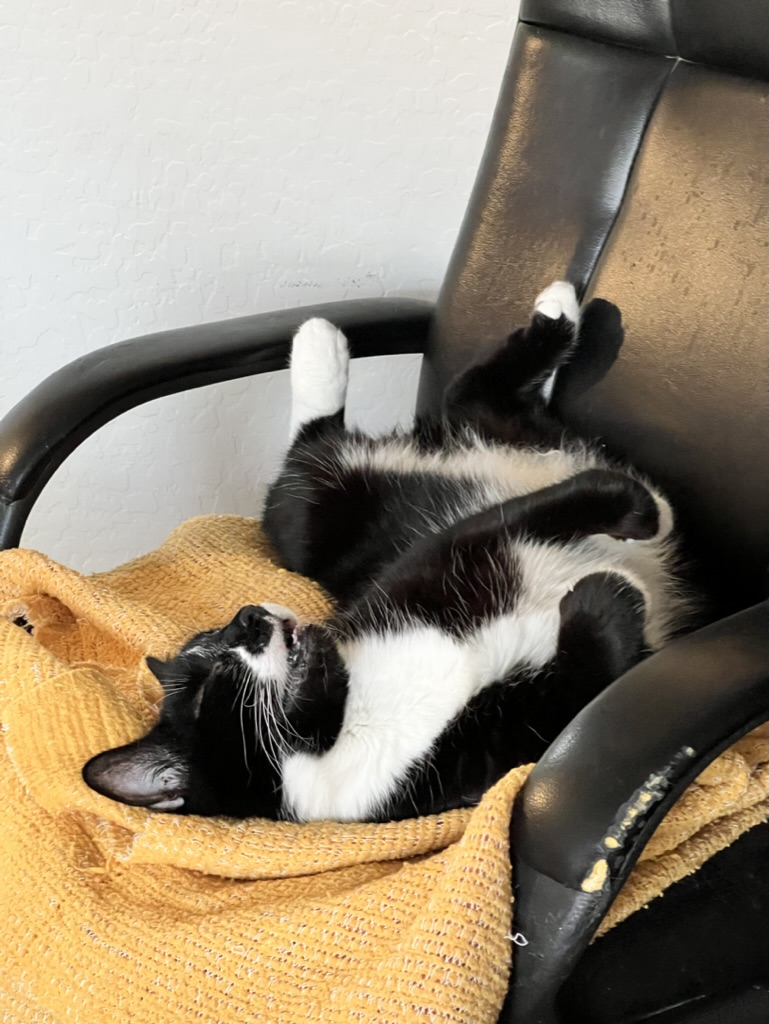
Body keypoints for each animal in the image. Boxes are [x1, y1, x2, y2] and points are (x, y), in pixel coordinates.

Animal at [82, 280, 684, 823]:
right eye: (207, 690)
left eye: (216, 635)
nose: (247, 617)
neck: (351, 718)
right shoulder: (487, 753)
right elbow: (583, 676)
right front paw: (607, 590)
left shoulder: (436, 561)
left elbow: (524, 515)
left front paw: (636, 506)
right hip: (313, 522)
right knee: (331, 449)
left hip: (431, 465)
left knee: (457, 398)